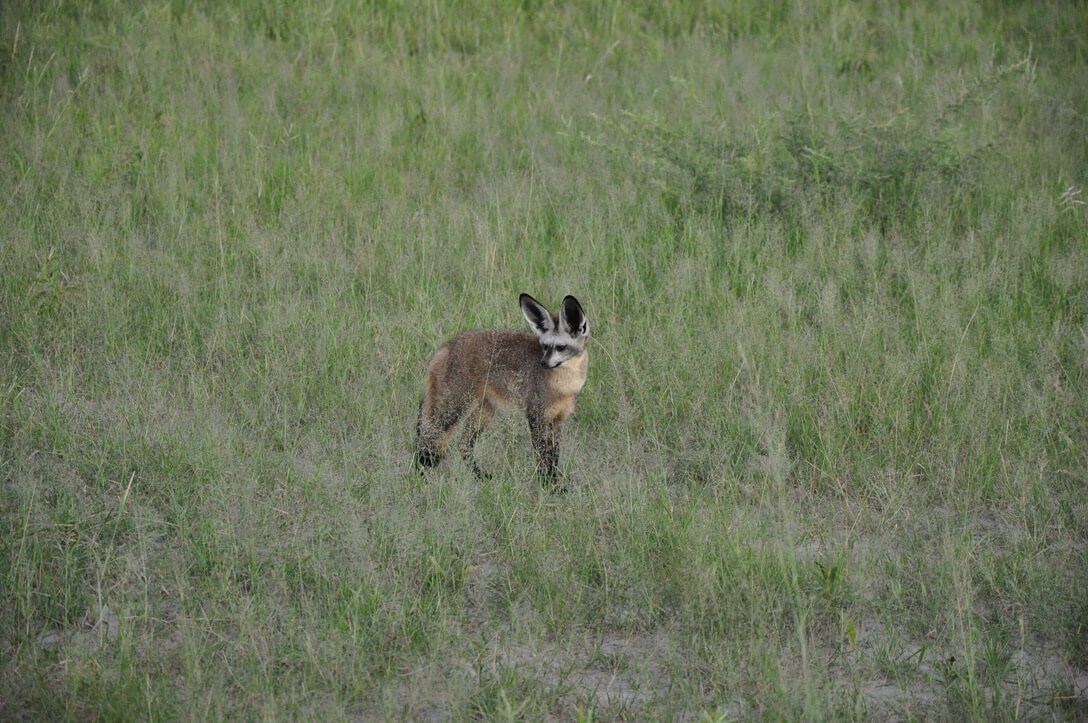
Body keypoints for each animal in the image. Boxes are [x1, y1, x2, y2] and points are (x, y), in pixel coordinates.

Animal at [415, 293, 589, 488]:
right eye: (544, 346)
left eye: (560, 347)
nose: (543, 363)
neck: (563, 387)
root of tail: (444, 347)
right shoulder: (536, 416)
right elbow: (542, 457)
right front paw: (546, 485)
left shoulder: (556, 420)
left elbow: (553, 457)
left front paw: (555, 485)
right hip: (453, 411)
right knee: (425, 441)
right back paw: (419, 476)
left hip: (482, 414)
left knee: (463, 446)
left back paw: (479, 476)